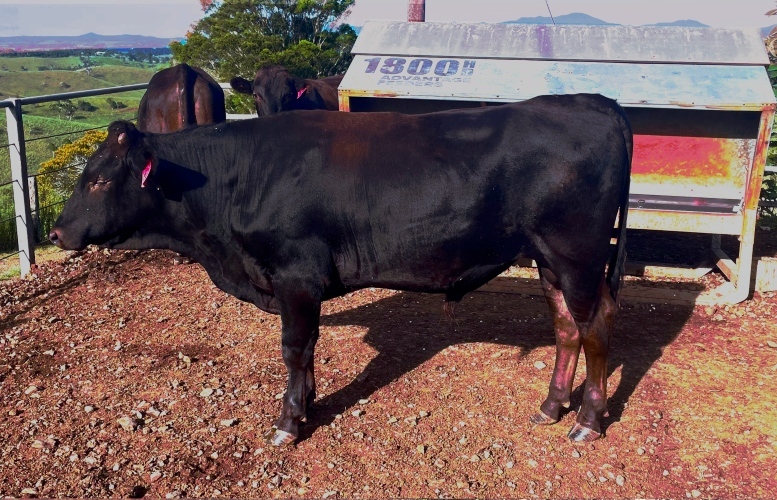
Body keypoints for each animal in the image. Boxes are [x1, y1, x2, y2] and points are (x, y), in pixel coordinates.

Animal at [49, 93, 632, 446]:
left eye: (99, 179)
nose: (55, 233)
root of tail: (590, 101)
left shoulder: (295, 276)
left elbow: (294, 347)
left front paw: (289, 421)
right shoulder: (295, 286)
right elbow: (307, 349)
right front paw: (307, 403)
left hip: (577, 254)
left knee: (597, 325)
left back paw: (587, 420)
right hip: (548, 259)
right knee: (565, 327)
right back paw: (551, 406)